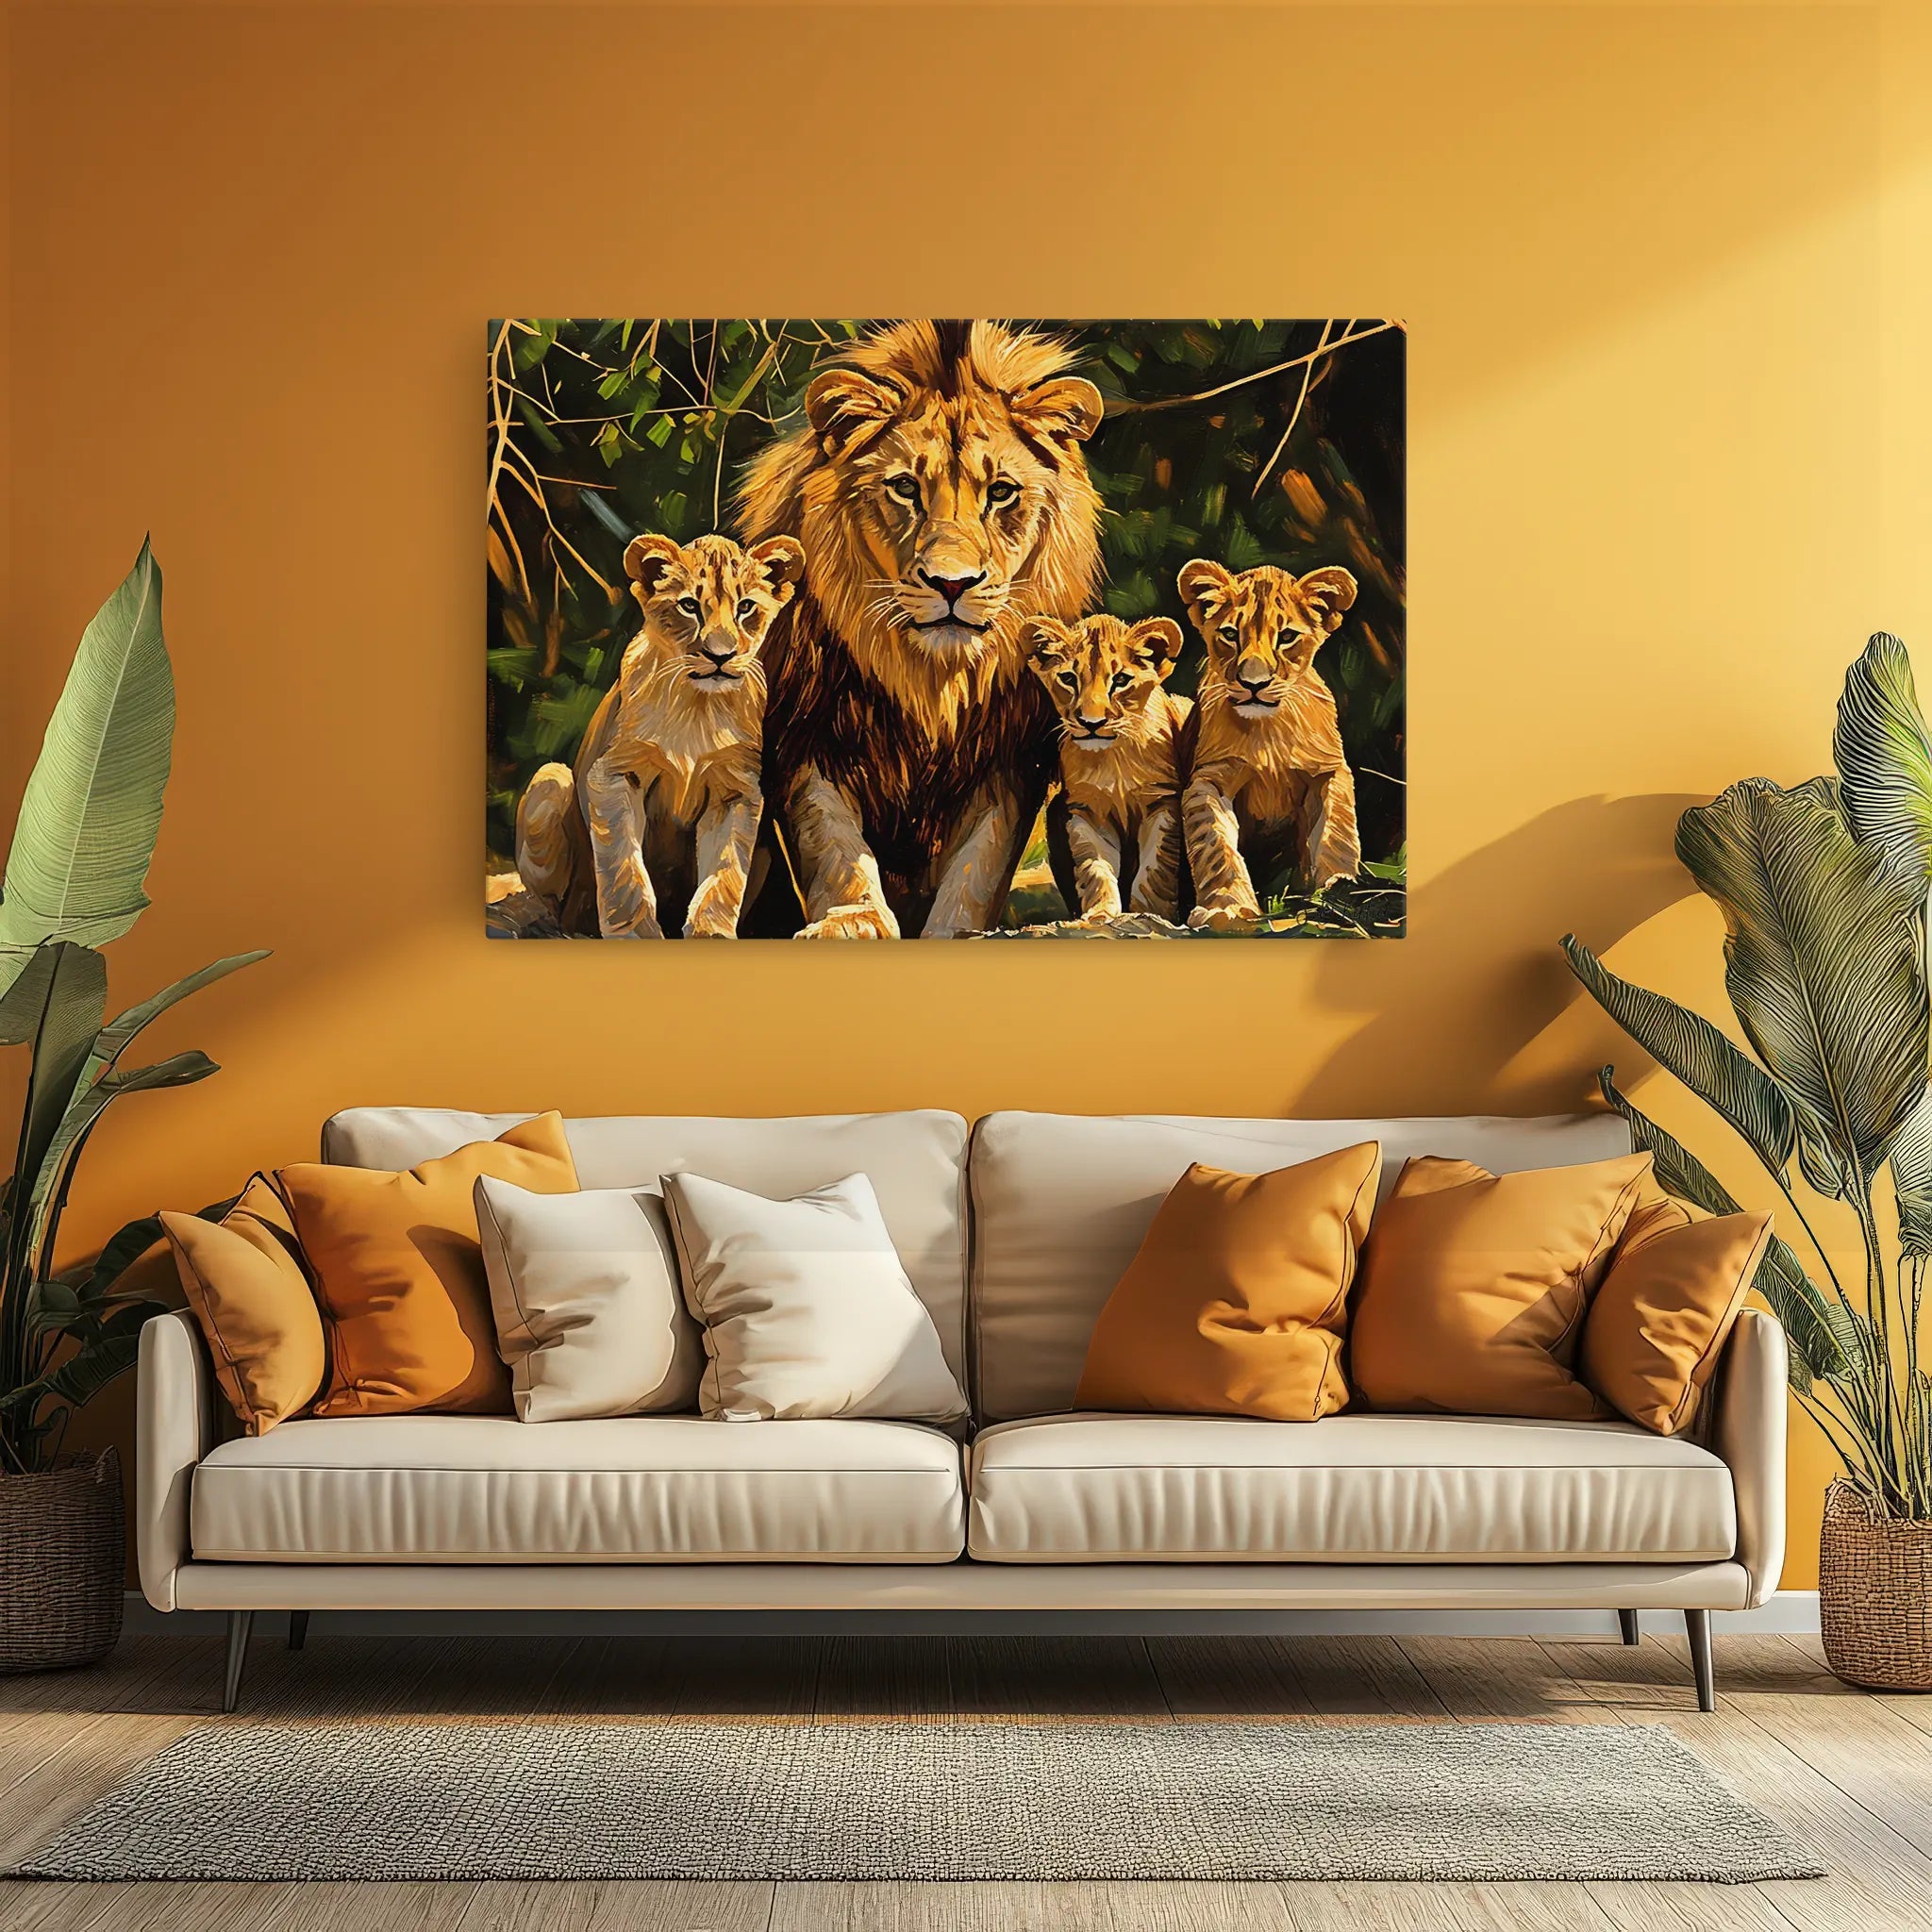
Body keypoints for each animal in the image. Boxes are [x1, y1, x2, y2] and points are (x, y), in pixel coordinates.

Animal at [516, 531, 805, 938]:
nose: (720, 656)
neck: (697, 706)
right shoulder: (614, 774)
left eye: (746, 607)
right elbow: (624, 869)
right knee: (552, 902)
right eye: (689, 605)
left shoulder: (737, 790)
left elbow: (725, 874)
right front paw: (634, 934)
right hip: (551, 779)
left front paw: (711, 933)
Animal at [736, 320, 1104, 938]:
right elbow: (835, 849)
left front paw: (956, 931)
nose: (951, 584)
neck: (930, 680)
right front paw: (853, 920)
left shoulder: (1006, 762)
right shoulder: (807, 739)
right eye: (905, 488)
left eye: (1001, 492)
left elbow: (977, 869)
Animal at [1023, 613, 1191, 923]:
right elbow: (1095, 868)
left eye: (1121, 680)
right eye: (1068, 678)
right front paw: (1100, 914)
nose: (1091, 723)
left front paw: (1149, 914)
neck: (1112, 758)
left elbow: (1154, 869)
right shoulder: (1086, 811)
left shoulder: (1162, 803)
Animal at [1175, 559, 1361, 930]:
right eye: (1230, 634)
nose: (1254, 684)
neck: (1268, 732)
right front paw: (1228, 907)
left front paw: (1339, 891)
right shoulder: (1209, 778)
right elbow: (1215, 844)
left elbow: (1336, 832)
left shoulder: (1327, 772)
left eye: (1287, 637)